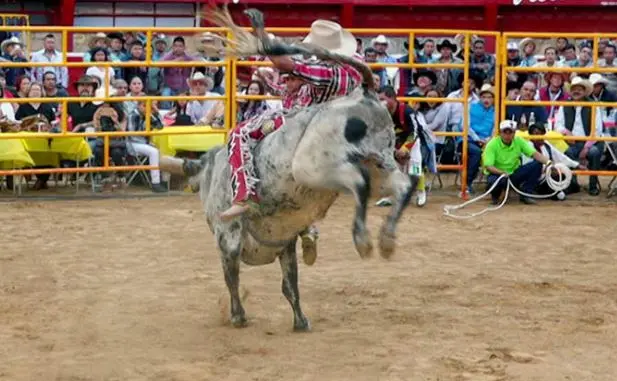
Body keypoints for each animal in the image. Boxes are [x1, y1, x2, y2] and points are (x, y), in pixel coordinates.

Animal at [159, 5, 418, 330]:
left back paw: (362, 239)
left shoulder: (227, 238)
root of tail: (365, 92)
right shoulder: (285, 243)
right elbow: (290, 283)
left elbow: (233, 279)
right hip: (379, 164)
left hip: (315, 167)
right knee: (402, 185)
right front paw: (300, 320)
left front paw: (238, 316)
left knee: (359, 183)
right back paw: (385, 240)